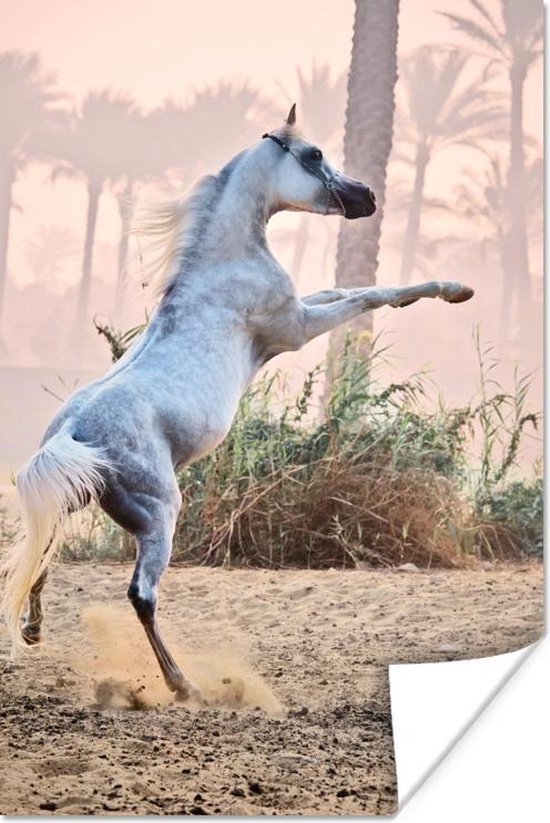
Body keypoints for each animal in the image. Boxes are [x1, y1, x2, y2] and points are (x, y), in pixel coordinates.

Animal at [0, 105, 473, 703]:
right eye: (315, 154)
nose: (366, 196)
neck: (223, 264)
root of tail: (71, 433)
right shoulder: (296, 328)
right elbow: (367, 294)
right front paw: (453, 289)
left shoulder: (301, 311)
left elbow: (345, 289)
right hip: (159, 515)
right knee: (141, 595)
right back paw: (184, 686)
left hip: (74, 500)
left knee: (40, 558)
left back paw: (35, 632)